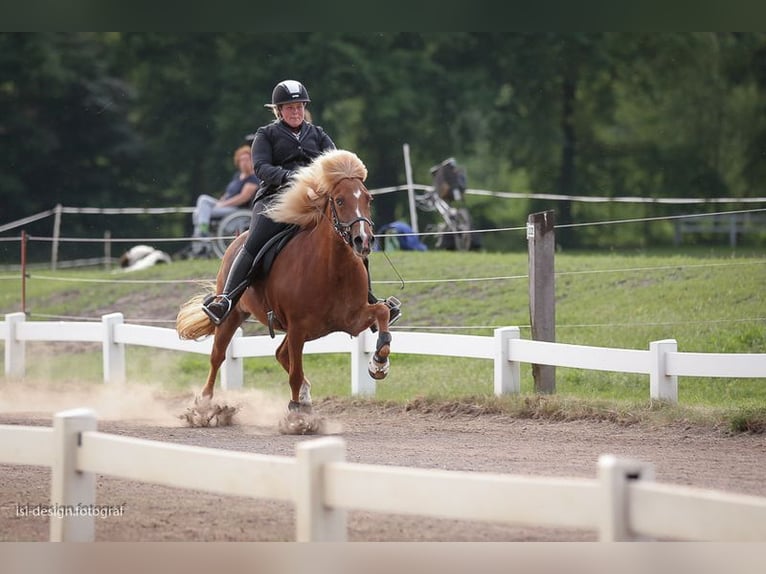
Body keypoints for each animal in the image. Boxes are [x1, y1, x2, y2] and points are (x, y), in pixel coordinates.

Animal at [177, 151, 392, 416]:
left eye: (368, 199)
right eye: (340, 201)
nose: (363, 240)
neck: (332, 268)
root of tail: (236, 239)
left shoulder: (352, 319)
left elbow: (382, 312)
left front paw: (379, 364)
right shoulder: (298, 327)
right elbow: (295, 374)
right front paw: (296, 413)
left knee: (280, 354)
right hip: (232, 316)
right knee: (218, 356)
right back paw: (204, 406)